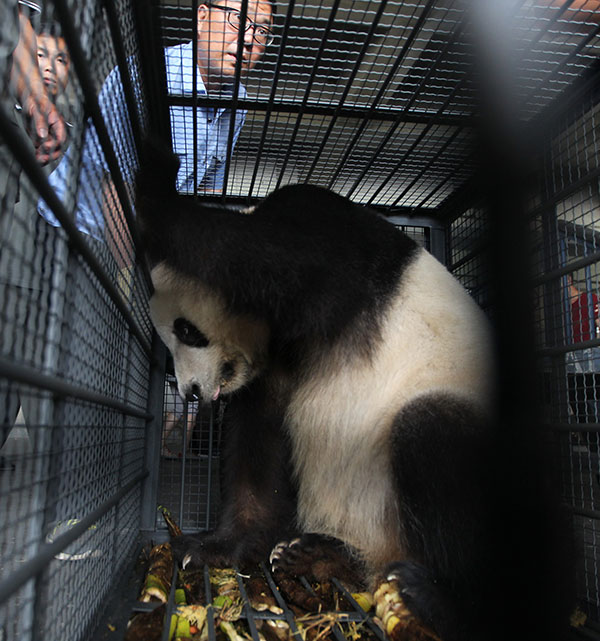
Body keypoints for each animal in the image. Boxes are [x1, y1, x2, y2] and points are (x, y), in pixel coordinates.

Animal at [136, 143, 507, 641]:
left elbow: (259, 253)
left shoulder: (331, 243)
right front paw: (213, 547)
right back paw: (312, 553)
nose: (192, 390)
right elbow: (258, 444)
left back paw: (433, 597)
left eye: (187, 330)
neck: (282, 336)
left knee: (435, 436)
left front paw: (155, 175)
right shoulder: (272, 363)